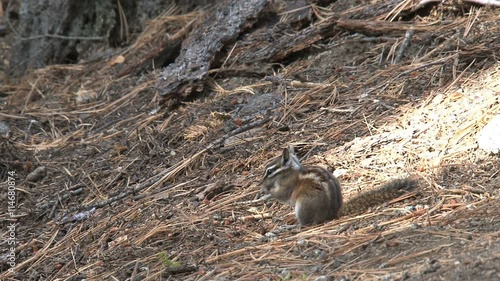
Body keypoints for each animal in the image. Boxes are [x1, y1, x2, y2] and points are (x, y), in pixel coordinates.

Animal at [260, 145, 416, 224]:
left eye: (269, 171)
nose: (260, 184)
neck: (290, 172)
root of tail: (332, 214)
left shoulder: (287, 186)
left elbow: (280, 194)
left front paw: (266, 193)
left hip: (303, 204)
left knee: (308, 223)